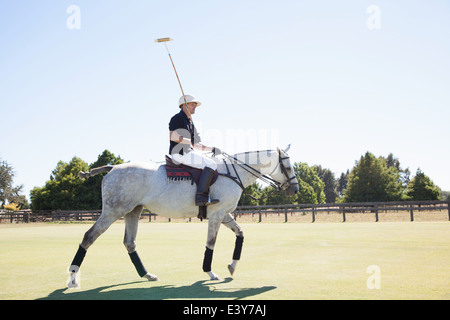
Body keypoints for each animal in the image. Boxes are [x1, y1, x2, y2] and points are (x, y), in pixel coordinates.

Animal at [67, 146, 298, 288]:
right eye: (287, 166)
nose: (295, 189)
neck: (234, 173)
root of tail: (112, 167)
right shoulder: (216, 214)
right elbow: (211, 243)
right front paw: (210, 273)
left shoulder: (224, 214)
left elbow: (240, 233)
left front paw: (232, 266)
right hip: (113, 210)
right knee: (88, 237)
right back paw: (72, 279)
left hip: (134, 210)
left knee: (129, 242)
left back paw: (147, 275)